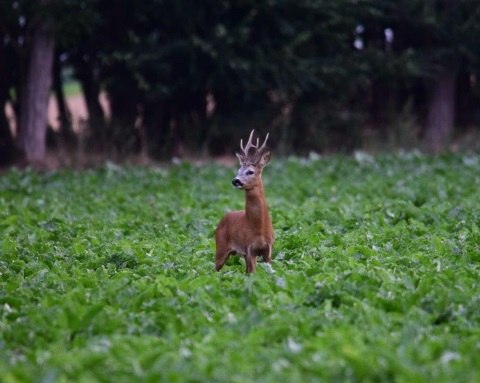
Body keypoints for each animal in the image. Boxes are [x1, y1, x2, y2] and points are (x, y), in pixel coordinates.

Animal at [214, 130, 274, 274]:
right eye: (238, 170)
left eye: (250, 171)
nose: (235, 180)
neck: (259, 229)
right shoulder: (249, 249)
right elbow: (252, 273)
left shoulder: (268, 250)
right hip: (220, 247)